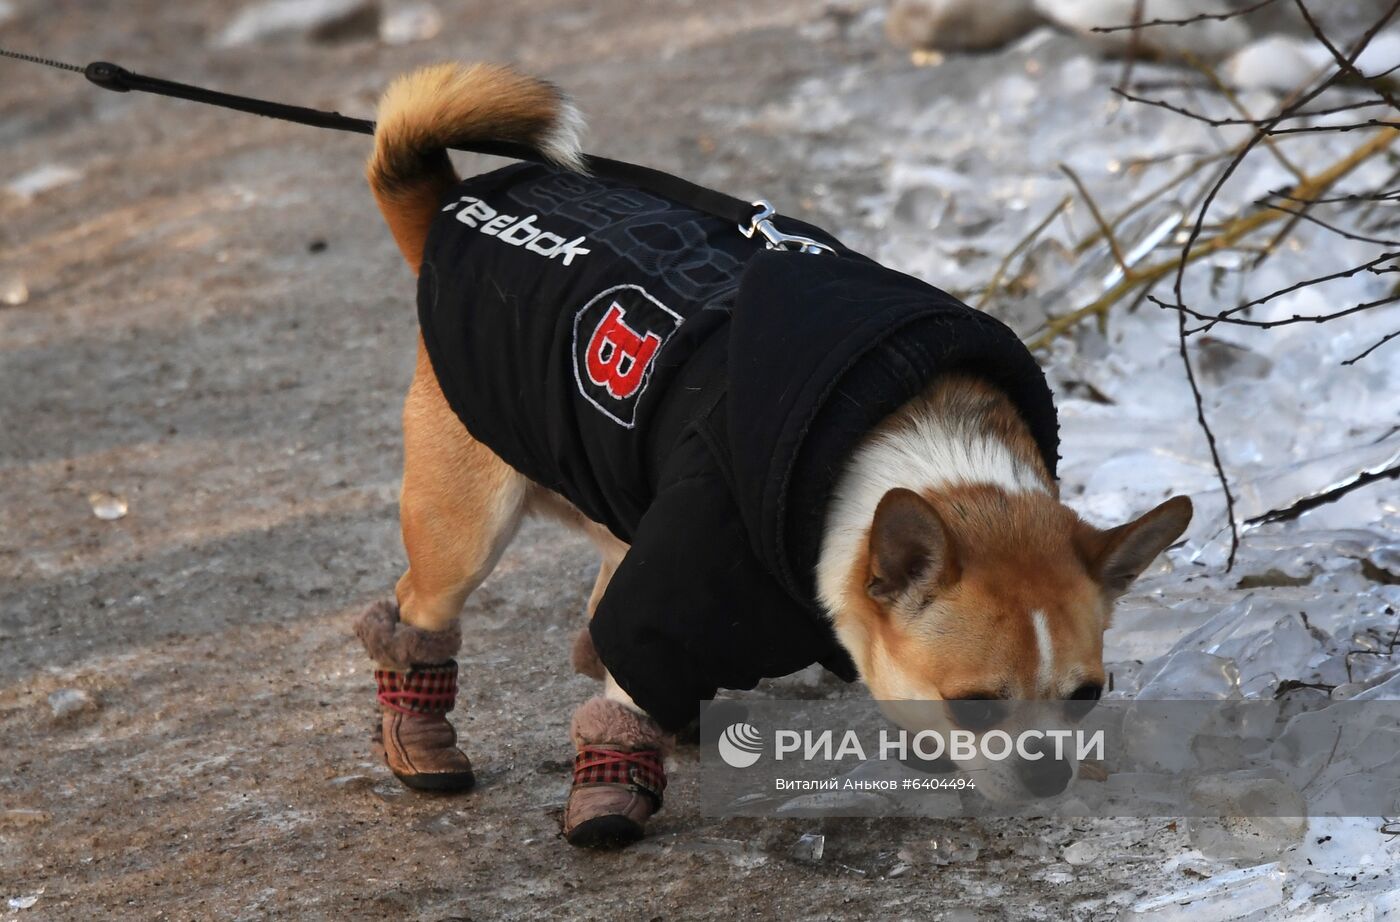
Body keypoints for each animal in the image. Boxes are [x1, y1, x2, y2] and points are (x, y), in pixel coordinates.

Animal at [352, 61, 1192, 845]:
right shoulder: (667, 600)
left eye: (1087, 696)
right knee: (420, 606)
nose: (1048, 774)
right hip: (465, 524)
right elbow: (628, 671)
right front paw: (610, 785)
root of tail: (446, 206)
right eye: (976, 707)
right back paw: (421, 733)